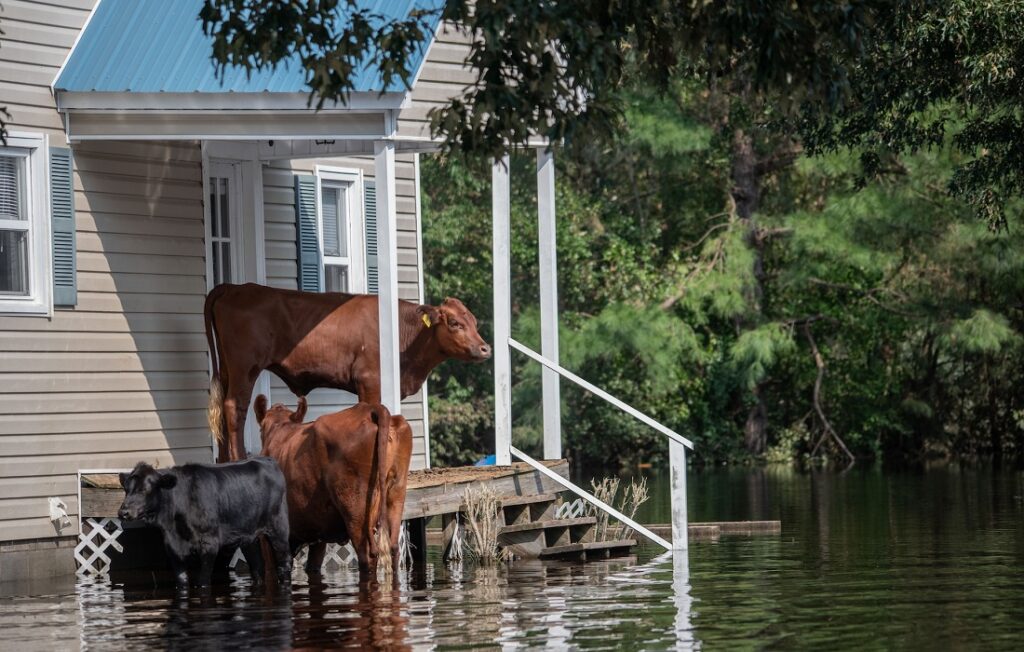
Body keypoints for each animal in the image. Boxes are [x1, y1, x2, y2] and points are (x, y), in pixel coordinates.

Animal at [117, 454, 292, 585]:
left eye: (144, 489)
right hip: (248, 536)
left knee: (284, 562)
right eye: (126, 489)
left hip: (279, 528)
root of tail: (267, 460)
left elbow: (203, 581)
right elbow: (182, 581)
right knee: (257, 566)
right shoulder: (173, 549)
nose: (123, 512)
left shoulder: (209, 544)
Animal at [205, 282, 489, 460]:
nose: (485, 348)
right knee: (234, 407)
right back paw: (237, 458)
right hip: (244, 367)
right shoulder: (370, 381)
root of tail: (236, 287)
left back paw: (223, 460)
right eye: (455, 323)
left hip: (228, 368)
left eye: (474, 321)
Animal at [253, 395, 413, 577]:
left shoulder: (267, 536)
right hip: (395, 494)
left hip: (355, 509)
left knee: (367, 555)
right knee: (393, 548)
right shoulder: (318, 533)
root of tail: (370, 408)